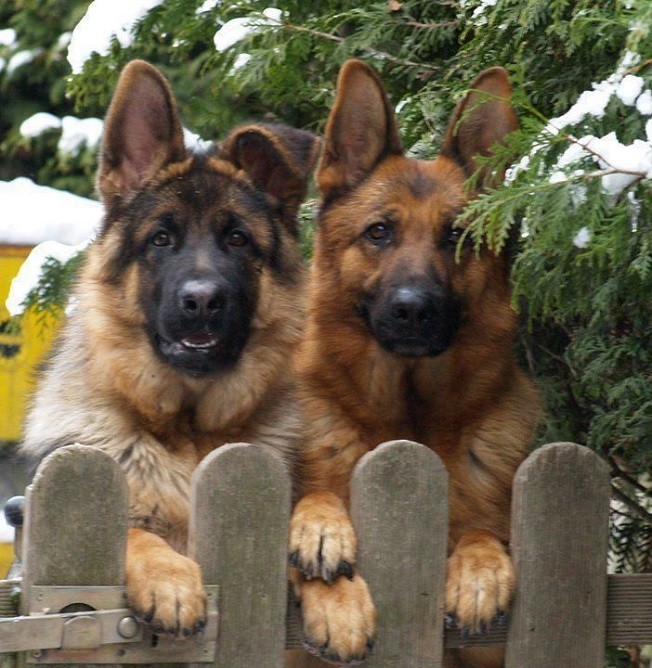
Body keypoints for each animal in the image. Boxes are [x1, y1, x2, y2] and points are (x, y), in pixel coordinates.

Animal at [22, 60, 320, 640]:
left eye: (238, 240)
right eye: (161, 240)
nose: (201, 301)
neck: (188, 430)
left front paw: (340, 588)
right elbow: (135, 535)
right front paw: (171, 580)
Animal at [290, 60, 540, 664]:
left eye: (456, 237)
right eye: (379, 232)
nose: (413, 310)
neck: (409, 421)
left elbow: (482, 530)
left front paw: (478, 570)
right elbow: (315, 498)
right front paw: (329, 564)